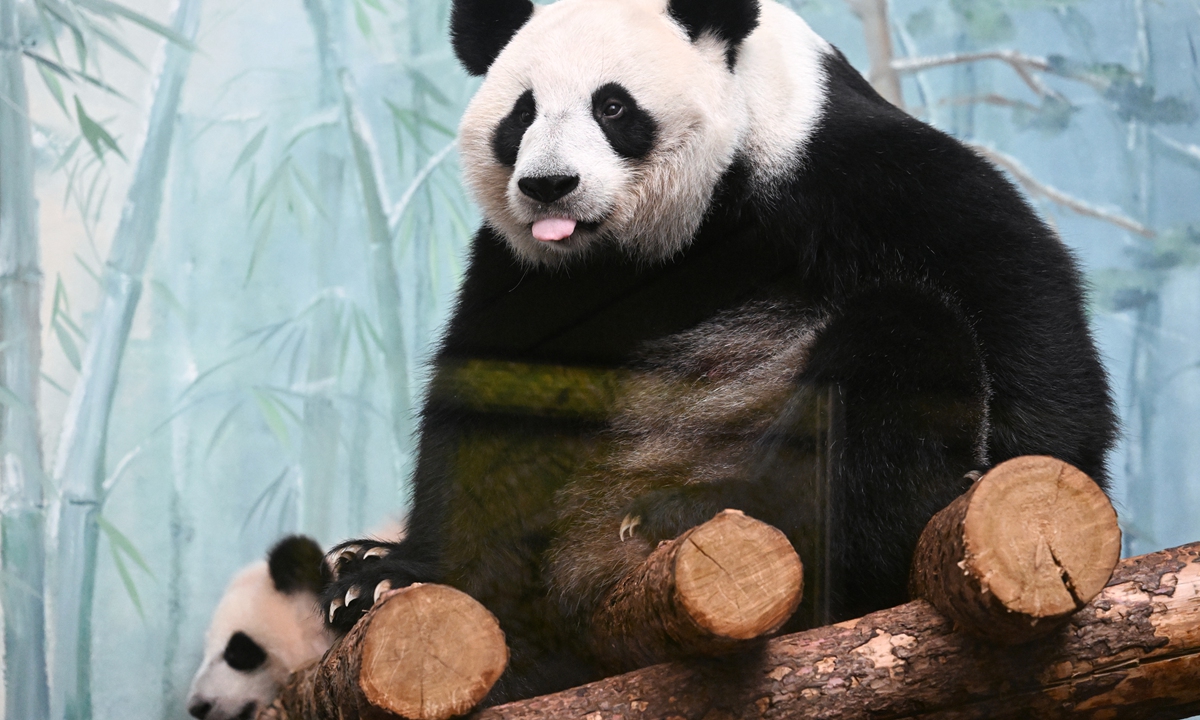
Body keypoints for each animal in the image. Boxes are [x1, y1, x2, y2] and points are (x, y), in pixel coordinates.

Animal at [316, 0, 1113, 700]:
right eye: (522, 113)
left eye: (613, 107)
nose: (550, 187)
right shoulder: (533, 272)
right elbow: (490, 405)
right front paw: (390, 576)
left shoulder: (833, 161)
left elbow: (1009, 279)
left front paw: (1024, 479)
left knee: (904, 344)